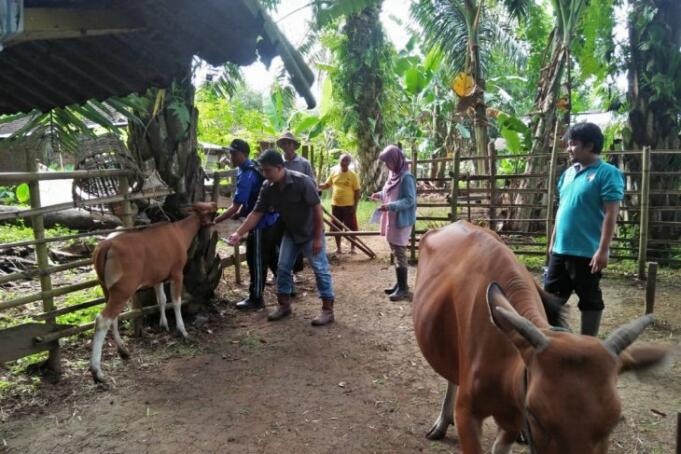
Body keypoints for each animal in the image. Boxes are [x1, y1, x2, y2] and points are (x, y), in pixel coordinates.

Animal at [88, 202, 215, 384]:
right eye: (207, 209)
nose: (215, 205)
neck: (180, 233)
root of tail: (106, 246)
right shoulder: (177, 273)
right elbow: (176, 301)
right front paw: (182, 330)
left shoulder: (158, 277)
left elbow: (161, 299)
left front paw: (164, 324)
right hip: (123, 289)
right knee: (102, 319)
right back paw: (97, 371)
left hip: (106, 287)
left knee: (113, 318)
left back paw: (123, 350)